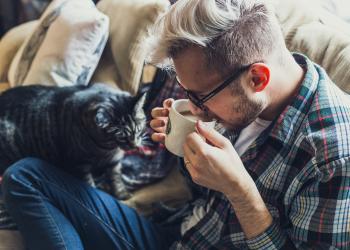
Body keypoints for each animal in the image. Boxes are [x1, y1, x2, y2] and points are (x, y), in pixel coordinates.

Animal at [0, 83, 146, 198]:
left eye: (138, 128)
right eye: (121, 136)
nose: (134, 145)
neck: (105, 150)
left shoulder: (114, 162)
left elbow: (116, 179)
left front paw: (122, 194)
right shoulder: (79, 165)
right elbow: (89, 184)